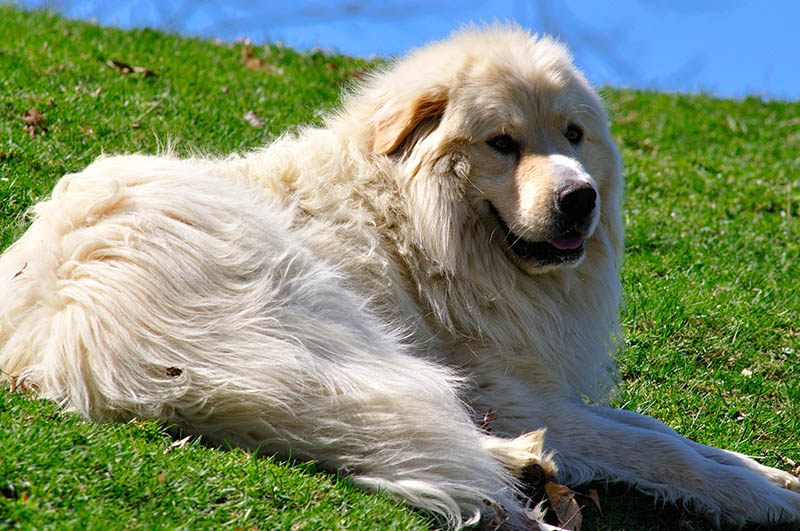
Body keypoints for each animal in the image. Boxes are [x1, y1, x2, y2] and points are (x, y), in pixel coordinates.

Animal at [1, 23, 800, 528]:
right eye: (502, 143)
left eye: (573, 134)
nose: (580, 198)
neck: (411, 221)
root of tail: (65, 322)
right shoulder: (506, 390)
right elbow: (657, 446)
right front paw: (764, 497)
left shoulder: (537, 383)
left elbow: (655, 428)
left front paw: (770, 473)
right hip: (315, 309)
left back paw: (523, 466)